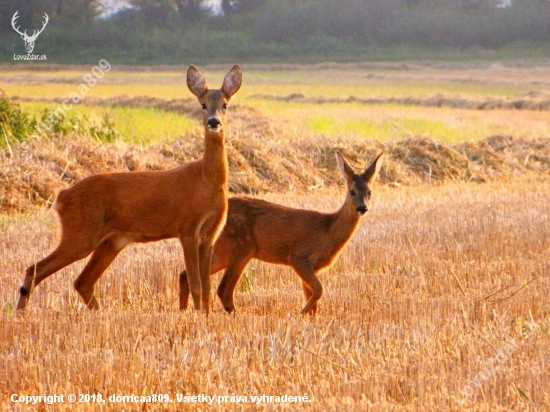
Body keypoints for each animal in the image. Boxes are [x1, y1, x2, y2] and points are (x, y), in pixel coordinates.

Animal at [16, 64, 244, 312]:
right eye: (202, 104)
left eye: (225, 104)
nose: (213, 121)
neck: (206, 180)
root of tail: (61, 197)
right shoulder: (187, 227)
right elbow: (196, 285)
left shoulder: (210, 234)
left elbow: (207, 289)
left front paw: (206, 316)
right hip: (80, 233)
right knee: (35, 269)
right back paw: (20, 312)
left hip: (111, 241)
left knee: (82, 281)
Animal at [180, 151, 384, 316]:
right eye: (352, 191)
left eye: (370, 192)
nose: (362, 208)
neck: (327, 231)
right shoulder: (298, 256)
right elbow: (319, 290)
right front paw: (299, 313)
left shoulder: (313, 266)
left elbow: (313, 297)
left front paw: (309, 317)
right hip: (241, 248)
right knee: (223, 289)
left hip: (223, 251)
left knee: (185, 274)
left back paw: (184, 312)